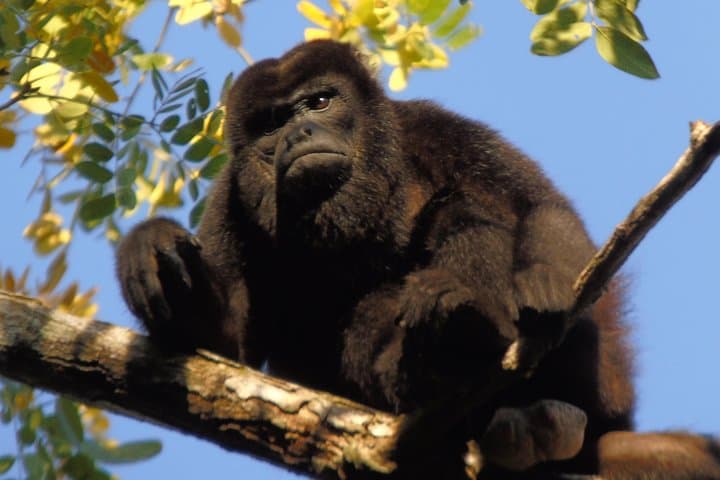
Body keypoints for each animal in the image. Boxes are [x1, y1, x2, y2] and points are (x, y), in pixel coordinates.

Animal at [116, 40, 720, 478]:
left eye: (320, 102)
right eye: (270, 123)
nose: (298, 133)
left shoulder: (434, 127)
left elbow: (538, 206)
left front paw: (545, 282)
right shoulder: (229, 195)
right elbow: (223, 347)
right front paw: (151, 249)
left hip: (602, 380)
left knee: (466, 209)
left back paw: (471, 329)